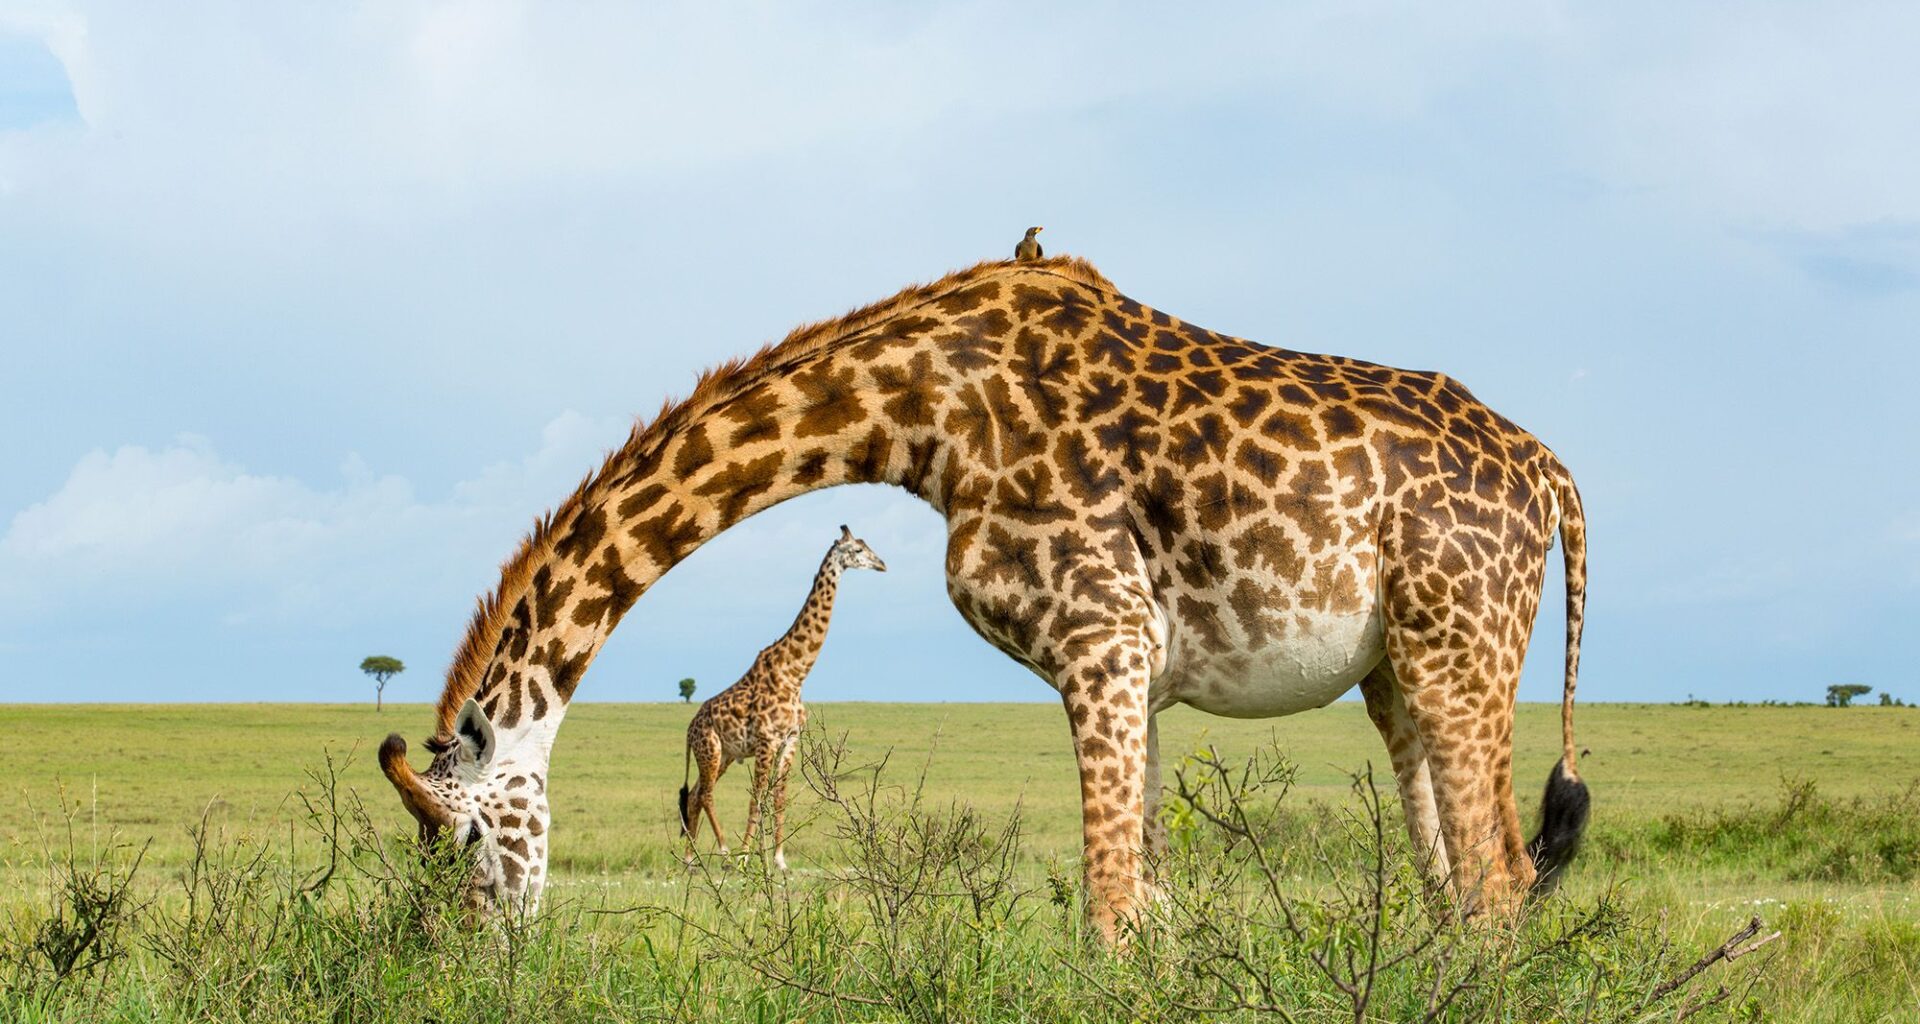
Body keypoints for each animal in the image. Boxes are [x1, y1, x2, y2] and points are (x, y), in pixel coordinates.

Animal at [678, 525, 886, 869]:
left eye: (867, 545)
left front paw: (778, 859)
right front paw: (746, 855)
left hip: (723, 754)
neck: (795, 674)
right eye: (857, 550)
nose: (882, 564)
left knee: (694, 794)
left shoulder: (790, 740)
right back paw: (723, 850)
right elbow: (757, 796)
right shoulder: (767, 740)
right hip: (710, 749)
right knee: (705, 794)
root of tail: (688, 729)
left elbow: (779, 797)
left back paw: (690, 859)